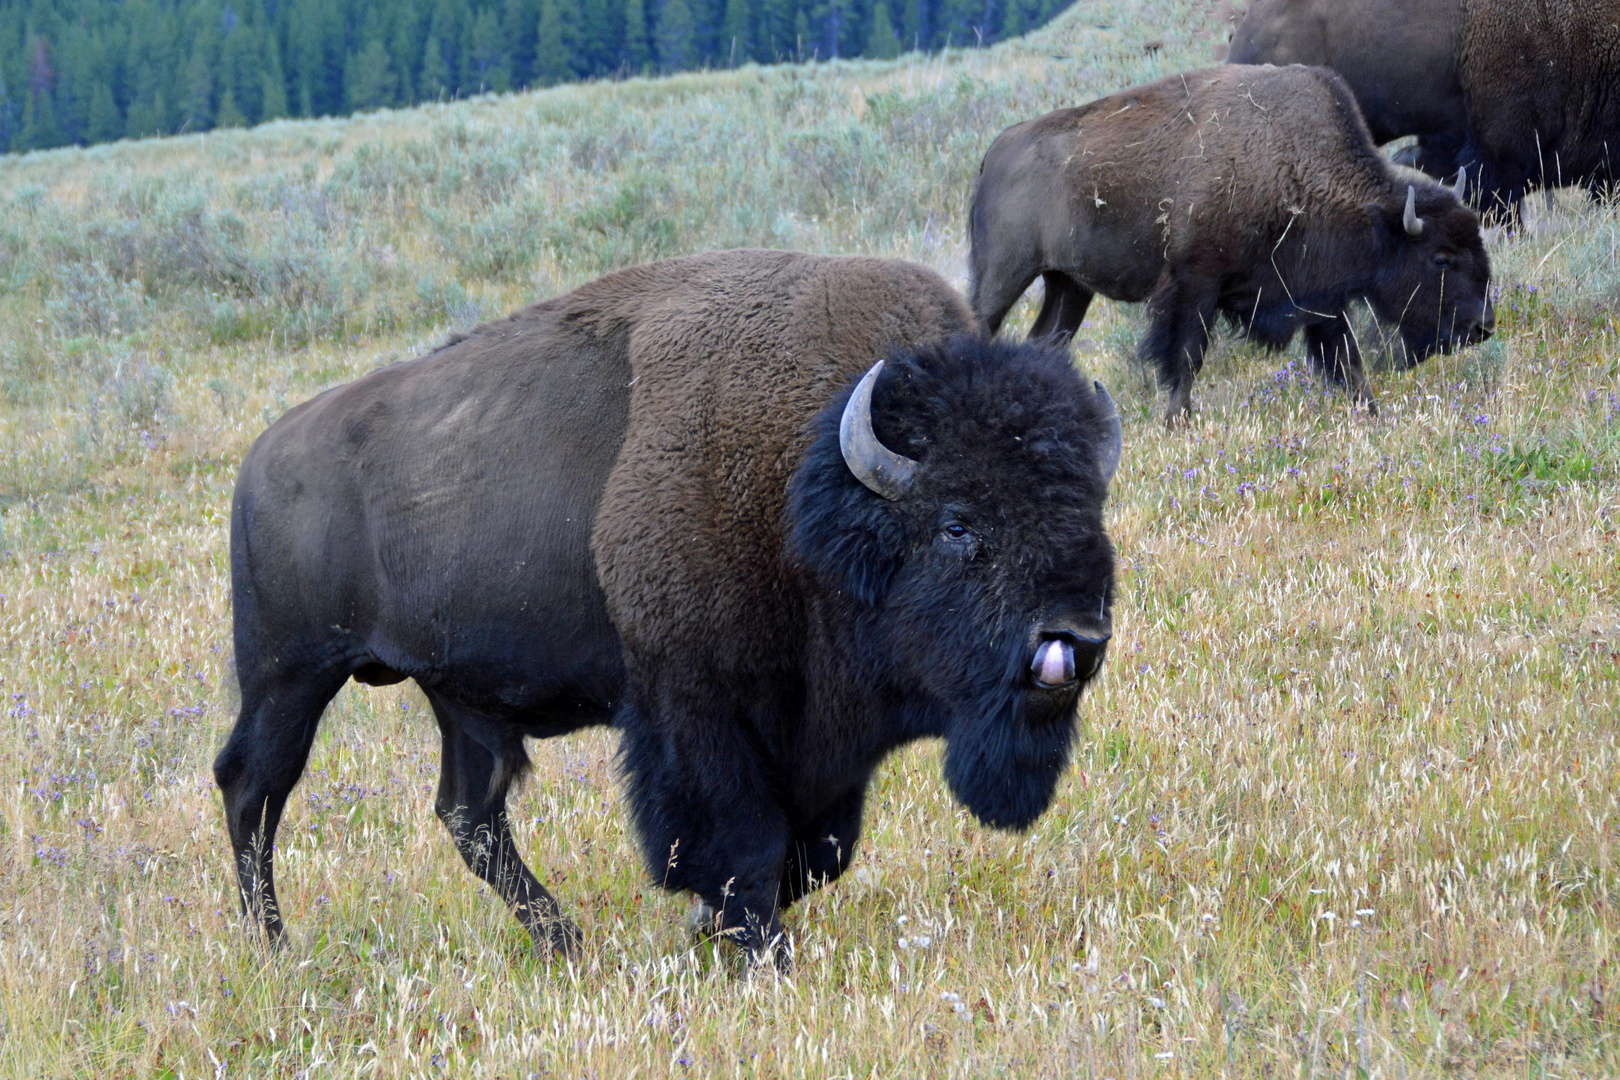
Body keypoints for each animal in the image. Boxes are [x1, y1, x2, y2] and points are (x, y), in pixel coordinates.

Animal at [215, 249, 1127, 965]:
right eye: (958, 524)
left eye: (1088, 507)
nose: (1075, 640)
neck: (809, 478)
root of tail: (259, 459)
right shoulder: (699, 712)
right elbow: (739, 840)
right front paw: (752, 946)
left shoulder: (820, 740)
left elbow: (817, 851)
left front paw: (719, 930)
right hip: (290, 675)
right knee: (252, 786)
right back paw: (276, 946)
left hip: (456, 697)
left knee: (469, 814)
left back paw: (564, 940)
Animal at [965, 62, 1496, 427]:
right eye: (1441, 258)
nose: (1483, 326)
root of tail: (994, 151)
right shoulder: (1195, 282)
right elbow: (1186, 354)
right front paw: (1177, 422)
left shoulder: (1320, 297)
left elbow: (1348, 362)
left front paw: (1372, 414)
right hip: (1004, 276)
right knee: (979, 327)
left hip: (1070, 286)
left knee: (1045, 342)